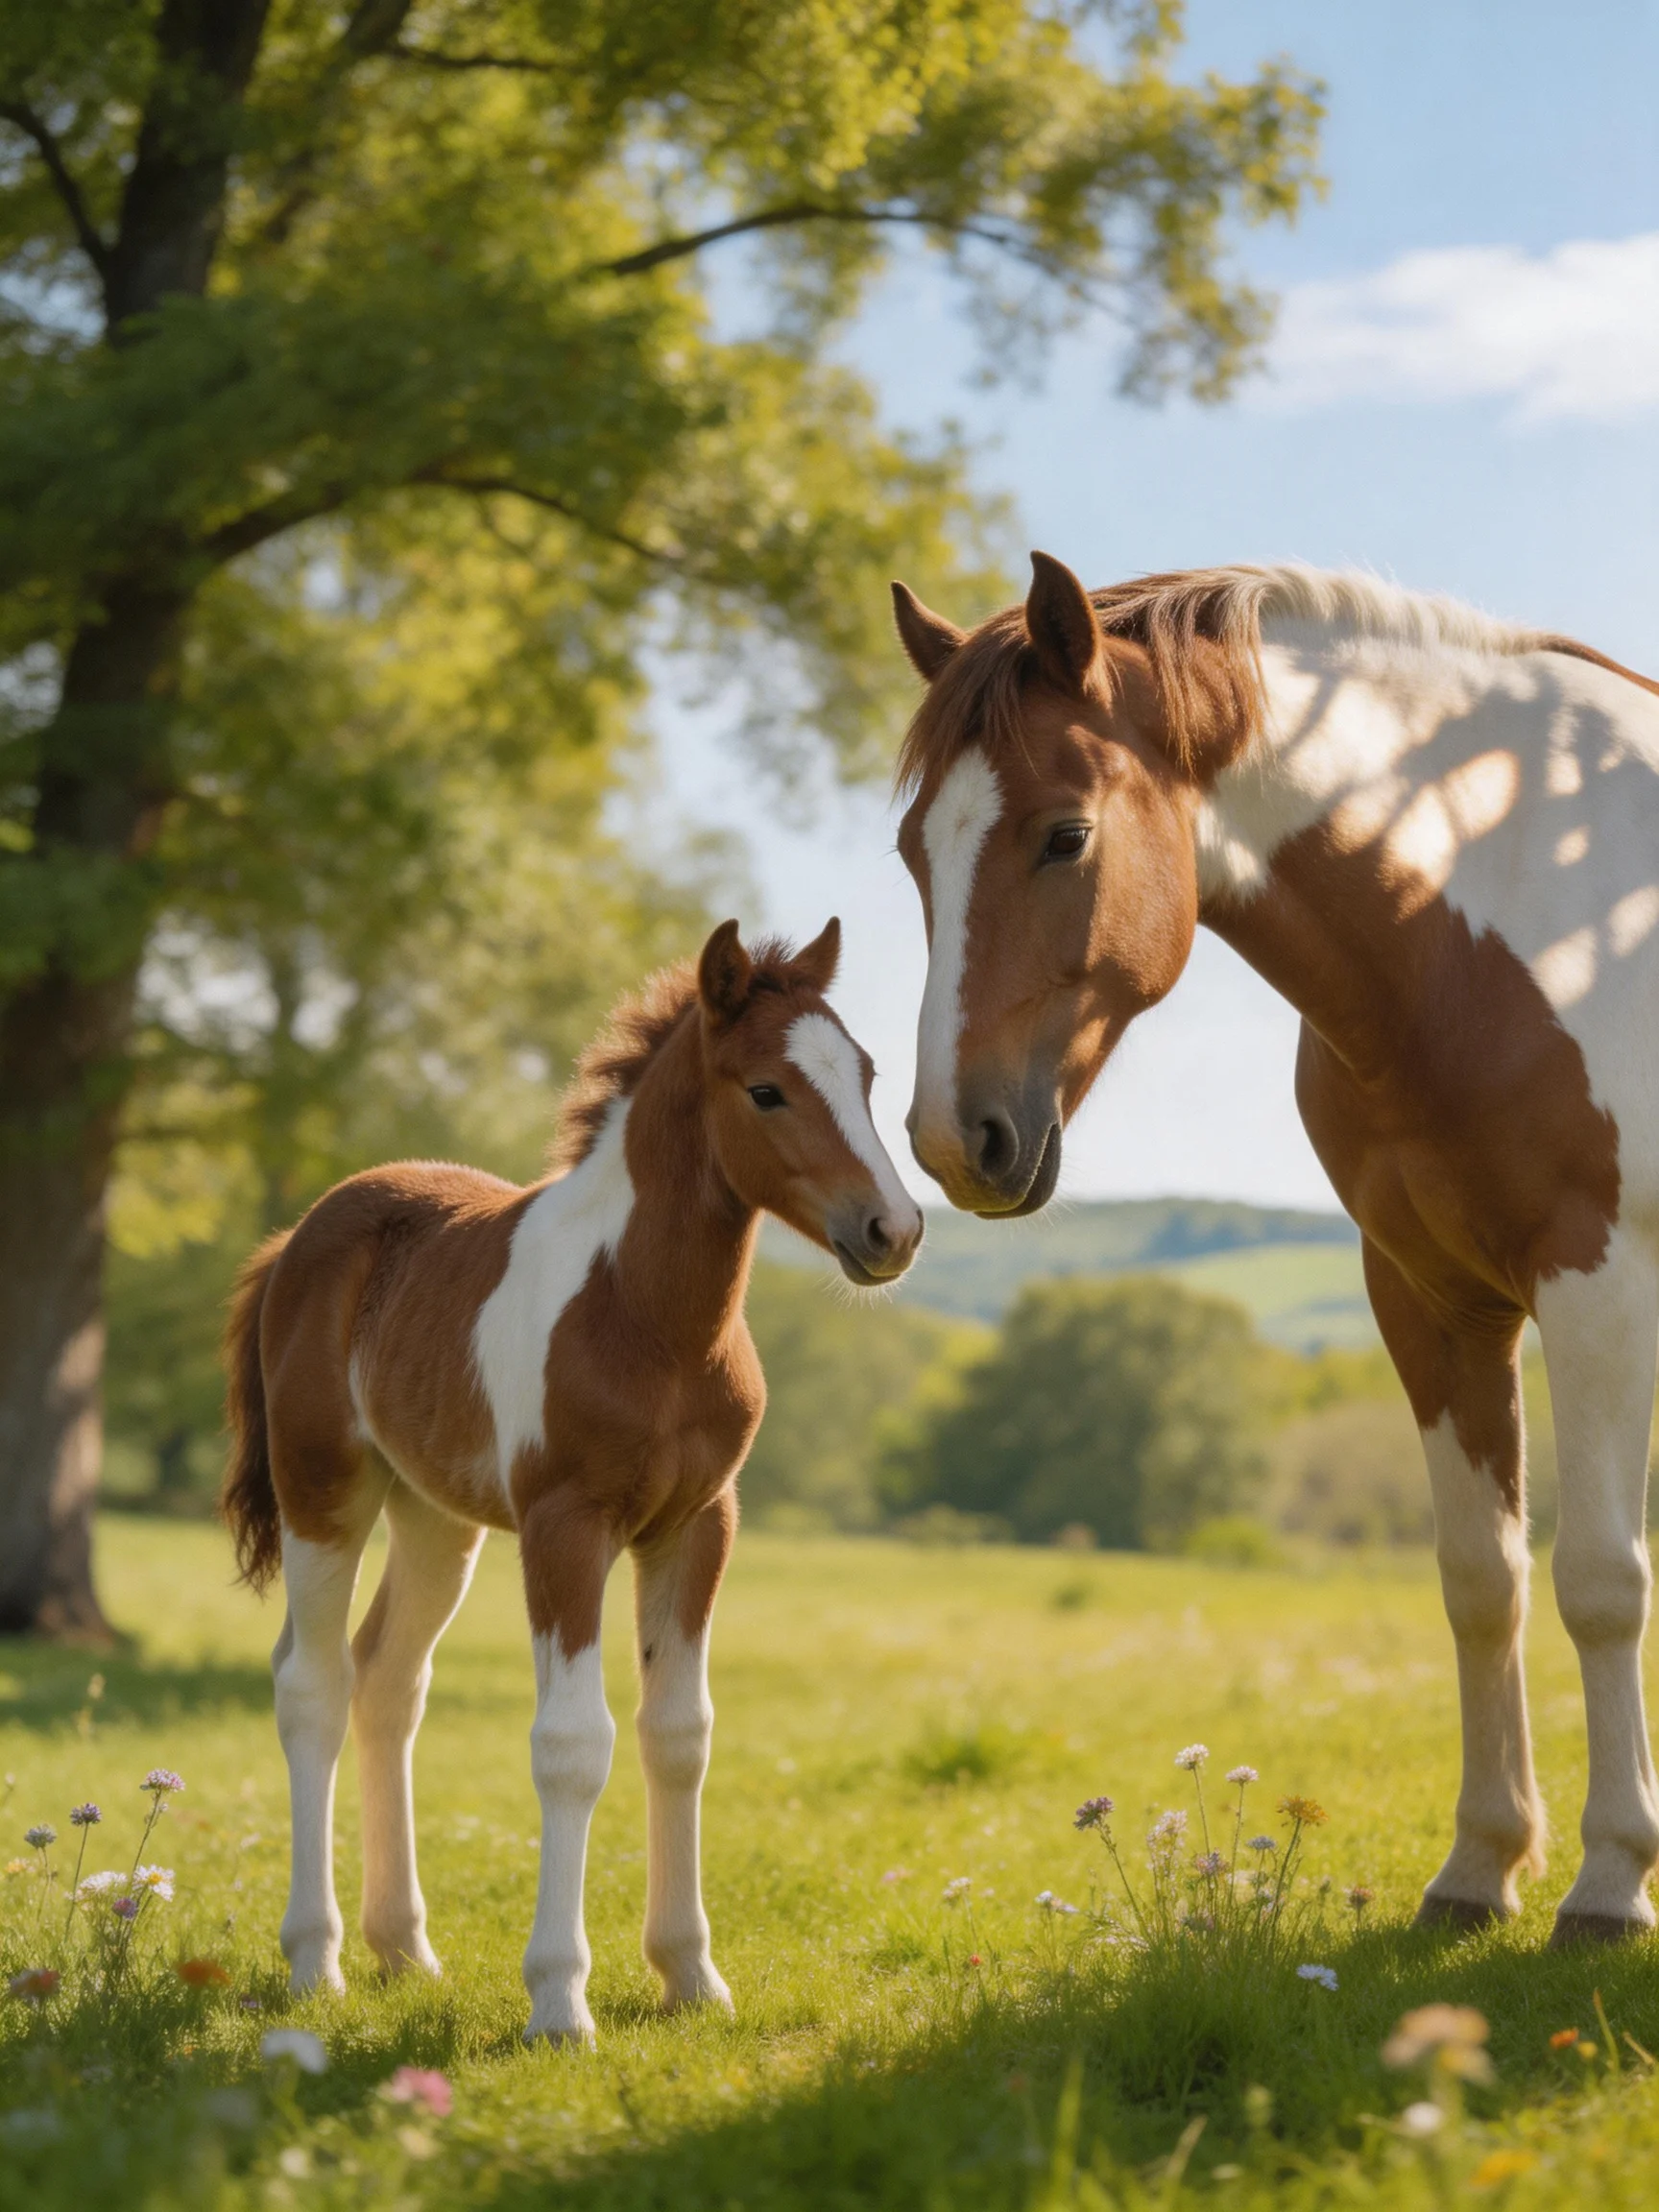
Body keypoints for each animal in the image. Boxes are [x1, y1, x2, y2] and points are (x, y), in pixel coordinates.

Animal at [220, 918, 922, 2043]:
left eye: (862, 1073)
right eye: (766, 1090)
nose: (893, 1232)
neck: (647, 1314)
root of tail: (298, 1239)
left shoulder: (698, 1524)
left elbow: (678, 1734)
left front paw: (691, 1976)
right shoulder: (567, 1526)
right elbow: (571, 1743)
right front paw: (558, 1999)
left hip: (436, 1520)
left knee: (388, 1680)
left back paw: (404, 1950)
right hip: (324, 1490)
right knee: (312, 1685)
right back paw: (314, 1962)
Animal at [889, 551, 1659, 1946]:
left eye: (1064, 834)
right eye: (918, 849)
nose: (954, 1139)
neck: (1519, 905)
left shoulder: (1600, 1288)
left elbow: (1597, 1582)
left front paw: (1612, 1882)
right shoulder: (1430, 1301)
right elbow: (1482, 1579)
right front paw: (1481, 1867)